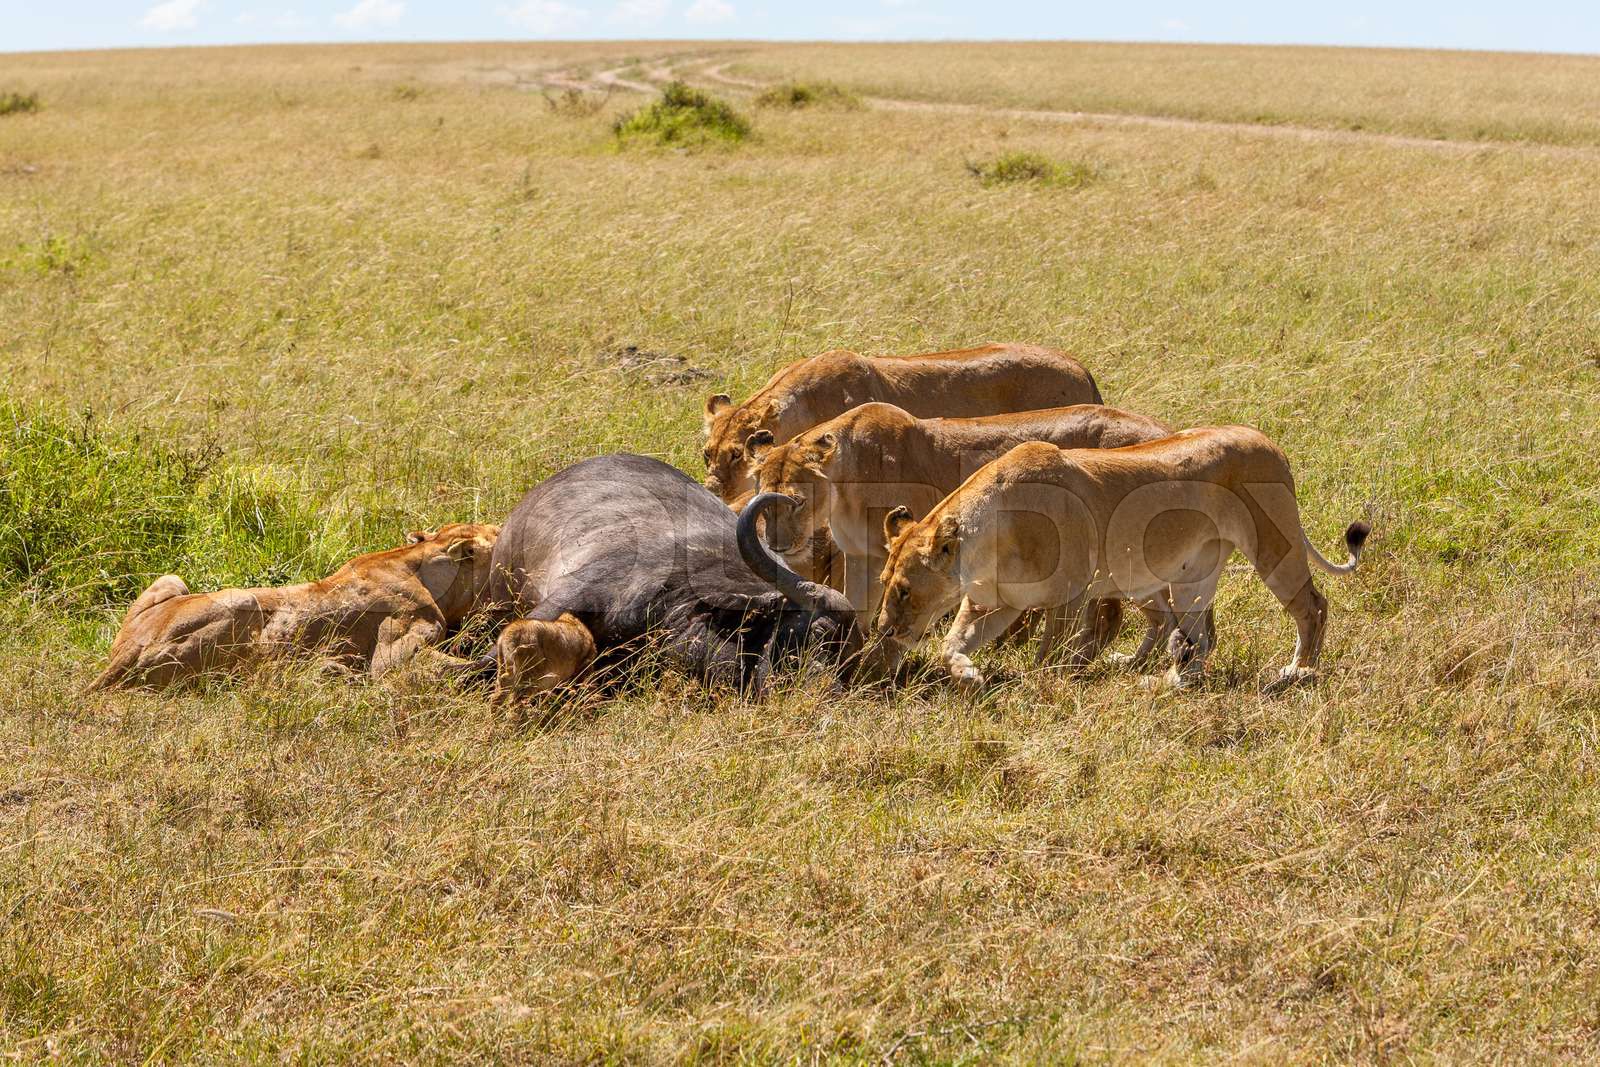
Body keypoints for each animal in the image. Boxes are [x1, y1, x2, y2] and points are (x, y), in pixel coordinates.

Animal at [874, 429, 1369, 692]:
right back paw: (1160, 679)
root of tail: (1267, 440)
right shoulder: (994, 601)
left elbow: (1050, 652)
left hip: (1274, 544)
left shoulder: (1069, 594)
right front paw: (970, 676)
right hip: (1189, 576)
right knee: (1198, 640)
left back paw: (1298, 670)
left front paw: (1045, 684)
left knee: (1312, 607)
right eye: (883, 582)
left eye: (904, 590)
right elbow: (951, 643)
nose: (883, 630)